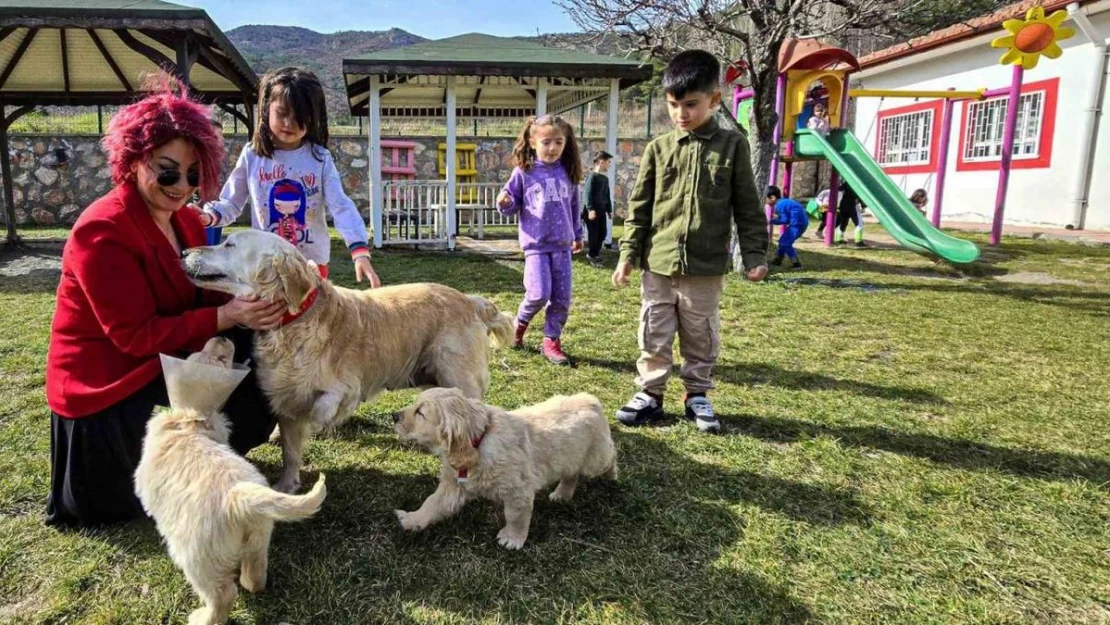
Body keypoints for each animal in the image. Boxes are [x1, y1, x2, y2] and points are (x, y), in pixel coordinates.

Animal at [133, 341, 324, 625]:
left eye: (222, 359)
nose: (223, 337)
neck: (192, 422)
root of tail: (239, 496)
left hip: (198, 558)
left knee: (223, 594)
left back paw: (201, 617)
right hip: (258, 536)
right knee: (255, 574)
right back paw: (250, 583)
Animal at [392, 388, 621, 550]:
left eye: (420, 413)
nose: (394, 415)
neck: (479, 441)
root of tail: (590, 399)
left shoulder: (518, 490)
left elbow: (515, 515)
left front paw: (512, 538)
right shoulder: (453, 485)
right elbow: (432, 503)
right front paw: (411, 519)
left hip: (596, 459)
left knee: (610, 456)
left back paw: (612, 475)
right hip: (570, 456)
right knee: (571, 474)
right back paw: (562, 494)